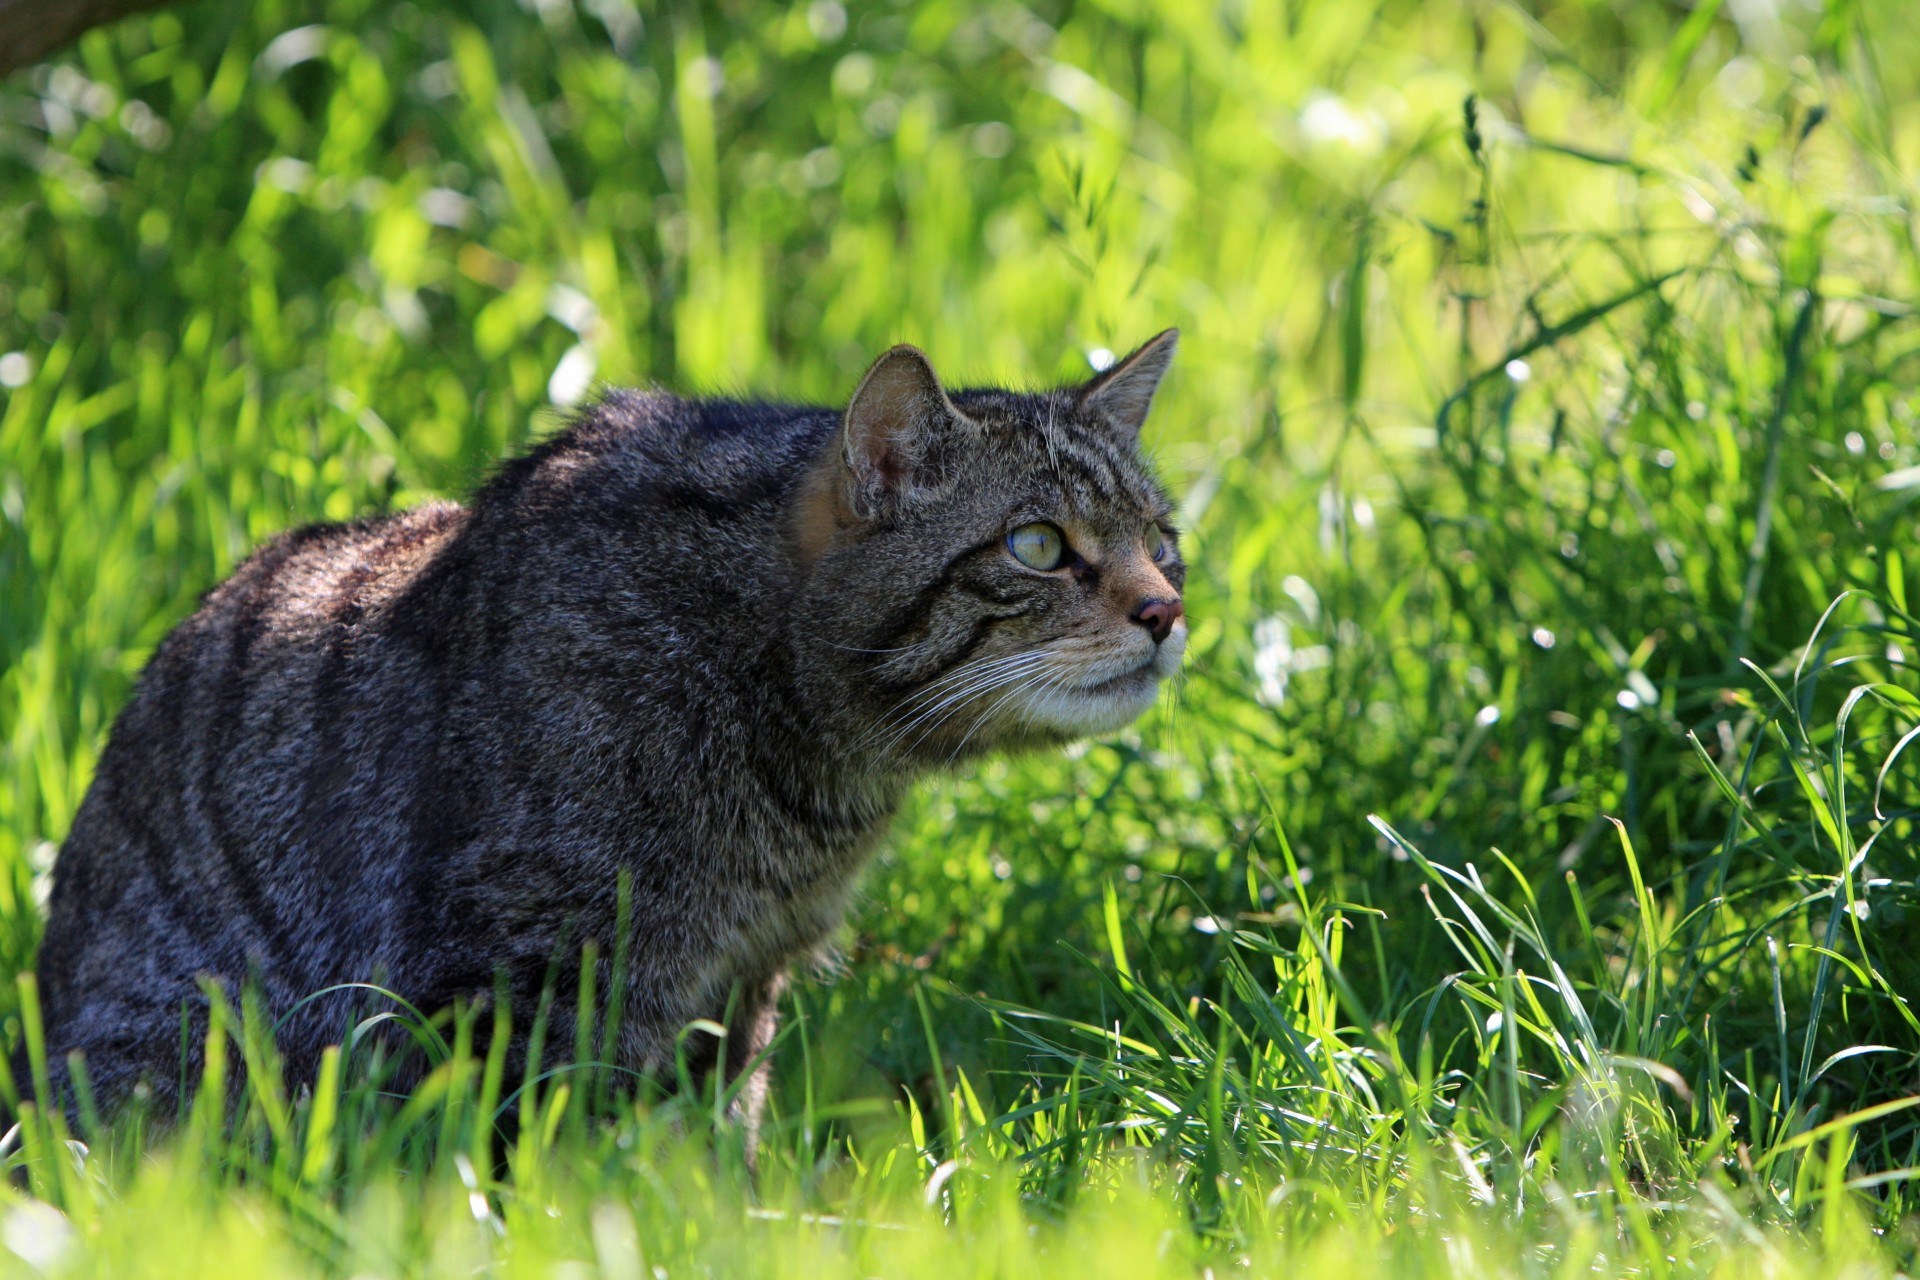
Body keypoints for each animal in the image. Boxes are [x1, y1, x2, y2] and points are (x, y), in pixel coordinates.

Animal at [26, 330, 1182, 1143]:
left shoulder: (742, 979)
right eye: (1038, 545)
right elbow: (534, 1165)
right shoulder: (527, 974)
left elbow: (711, 1145)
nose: (1168, 609)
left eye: (1162, 537)